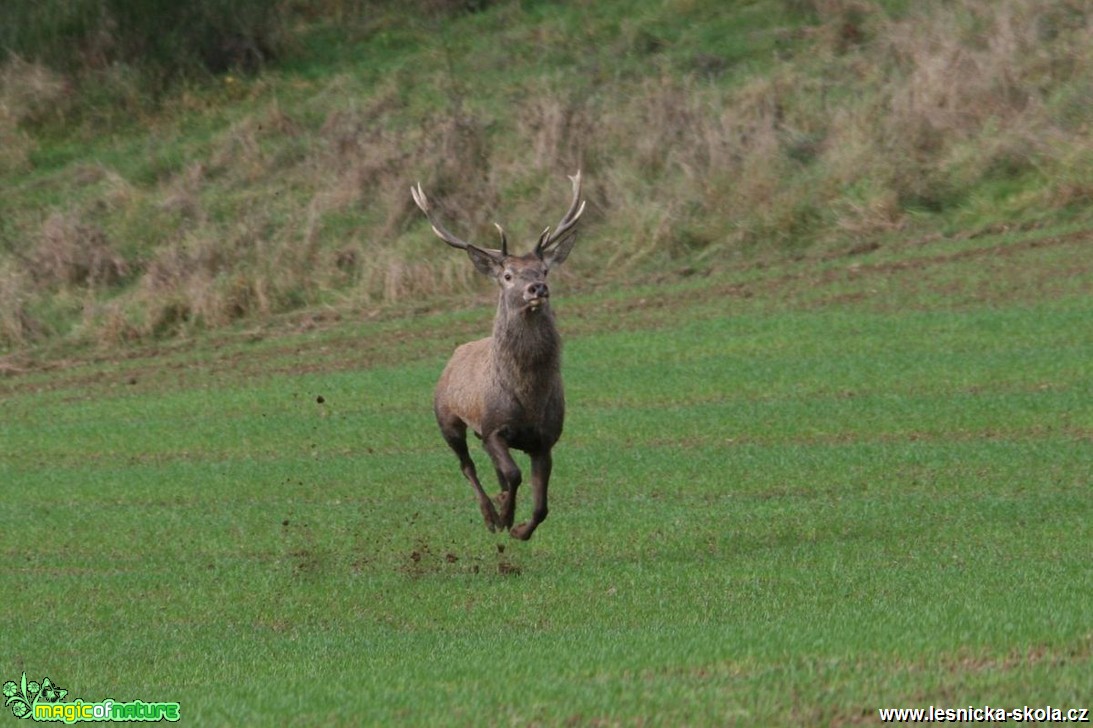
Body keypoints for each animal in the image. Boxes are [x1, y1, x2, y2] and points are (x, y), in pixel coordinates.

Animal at [410, 168, 585, 533]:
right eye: (507, 275)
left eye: (544, 270)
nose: (537, 288)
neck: (528, 396)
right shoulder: (492, 427)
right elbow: (513, 474)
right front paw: (505, 516)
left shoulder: (545, 439)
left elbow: (541, 505)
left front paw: (519, 527)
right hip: (446, 419)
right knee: (468, 466)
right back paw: (490, 516)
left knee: (492, 469)